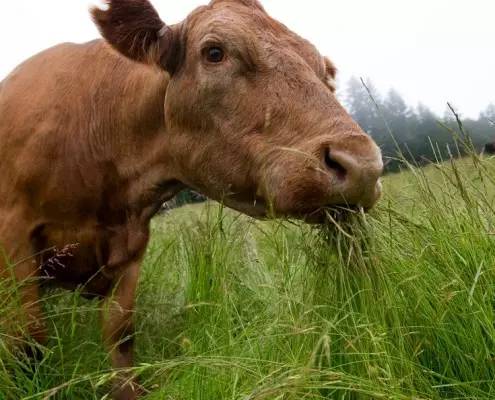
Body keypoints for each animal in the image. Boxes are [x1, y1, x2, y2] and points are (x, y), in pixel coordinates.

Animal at [0, 0, 384, 396]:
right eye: (214, 52)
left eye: (325, 70)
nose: (363, 166)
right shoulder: (14, 237)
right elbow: (29, 342)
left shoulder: (132, 248)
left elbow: (121, 337)